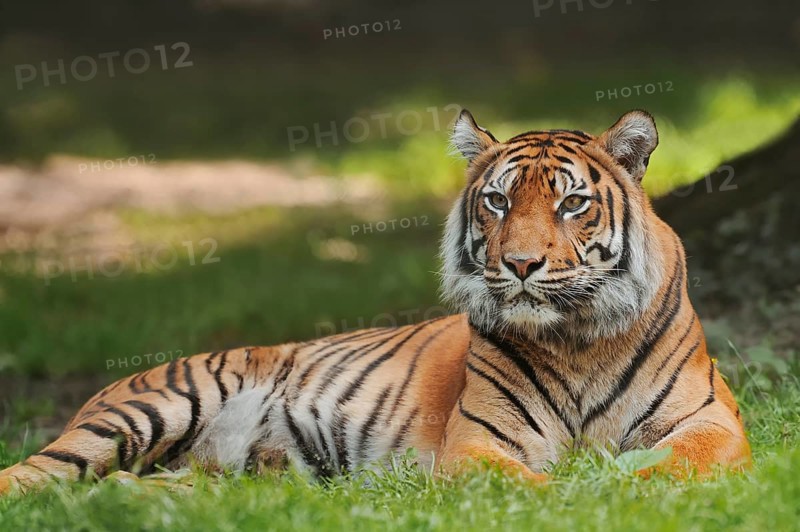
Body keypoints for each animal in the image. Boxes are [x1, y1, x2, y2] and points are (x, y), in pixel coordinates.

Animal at [0, 109, 751, 495]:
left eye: (571, 204)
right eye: (497, 201)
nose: (520, 264)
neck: (576, 339)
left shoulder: (713, 422)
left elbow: (679, 463)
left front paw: (626, 480)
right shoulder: (477, 445)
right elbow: (538, 486)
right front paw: (588, 489)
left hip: (220, 478)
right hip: (148, 409)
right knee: (32, 472)